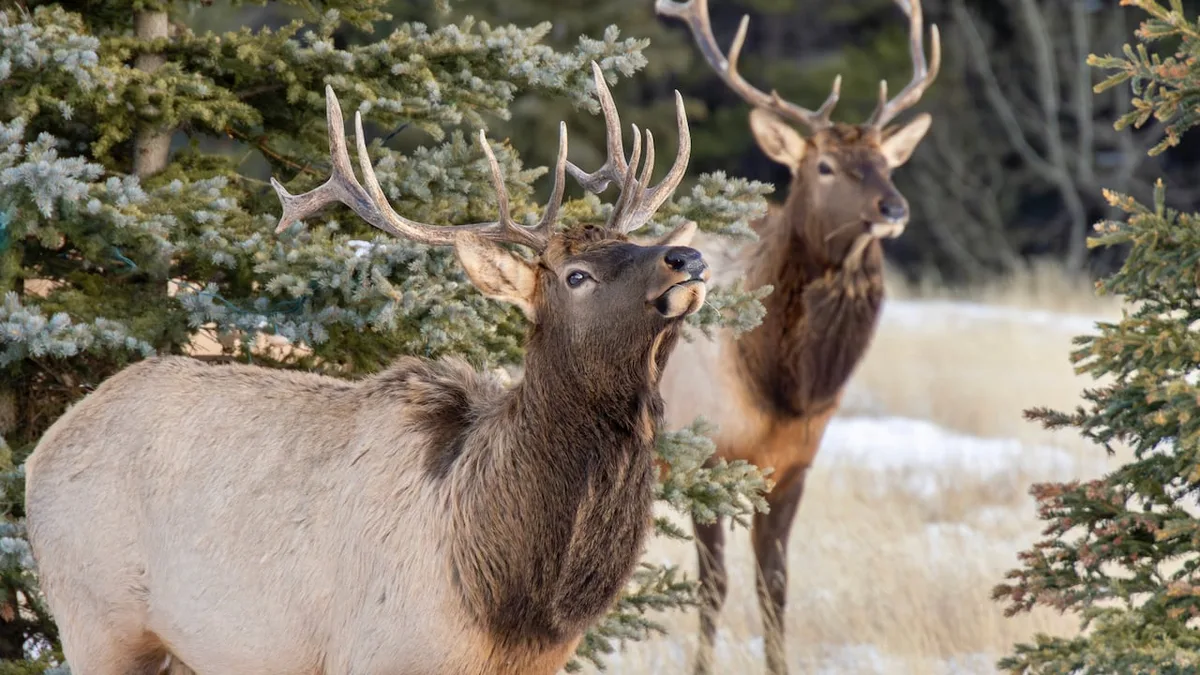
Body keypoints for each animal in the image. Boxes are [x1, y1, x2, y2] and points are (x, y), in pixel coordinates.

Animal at [23, 62, 709, 675]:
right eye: (577, 275)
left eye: (630, 244)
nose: (688, 257)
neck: (504, 596)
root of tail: (38, 453)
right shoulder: (382, 650)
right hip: (97, 619)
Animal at [654, 1, 941, 672]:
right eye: (824, 166)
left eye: (887, 163)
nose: (893, 209)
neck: (782, 386)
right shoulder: (701, 458)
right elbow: (712, 587)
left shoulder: (792, 468)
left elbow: (774, 586)